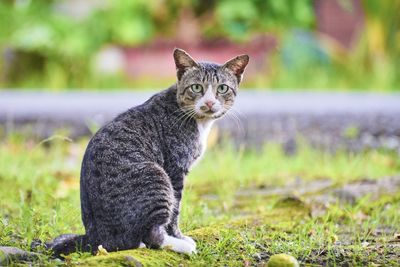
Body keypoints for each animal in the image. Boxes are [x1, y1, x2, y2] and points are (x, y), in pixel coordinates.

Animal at [43, 47, 247, 258]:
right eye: (197, 87)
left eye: (222, 88)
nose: (209, 103)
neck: (198, 121)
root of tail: (94, 236)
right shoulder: (175, 169)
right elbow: (175, 211)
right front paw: (180, 237)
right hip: (155, 176)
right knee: (152, 235)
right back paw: (181, 246)